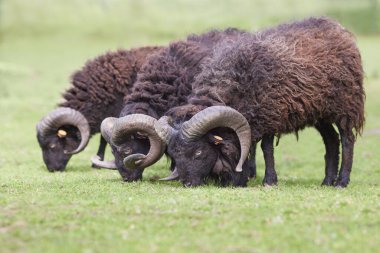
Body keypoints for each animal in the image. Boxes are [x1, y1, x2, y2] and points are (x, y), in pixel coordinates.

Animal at [154, 17, 366, 188]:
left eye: (198, 152)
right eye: (174, 155)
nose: (187, 183)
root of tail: (338, 28)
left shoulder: (269, 114)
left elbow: (266, 149)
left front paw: (269, 180)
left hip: (346, 105)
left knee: (347, 139)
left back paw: (341, 182)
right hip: (319, 112)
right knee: (332, 140)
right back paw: (327, 181)